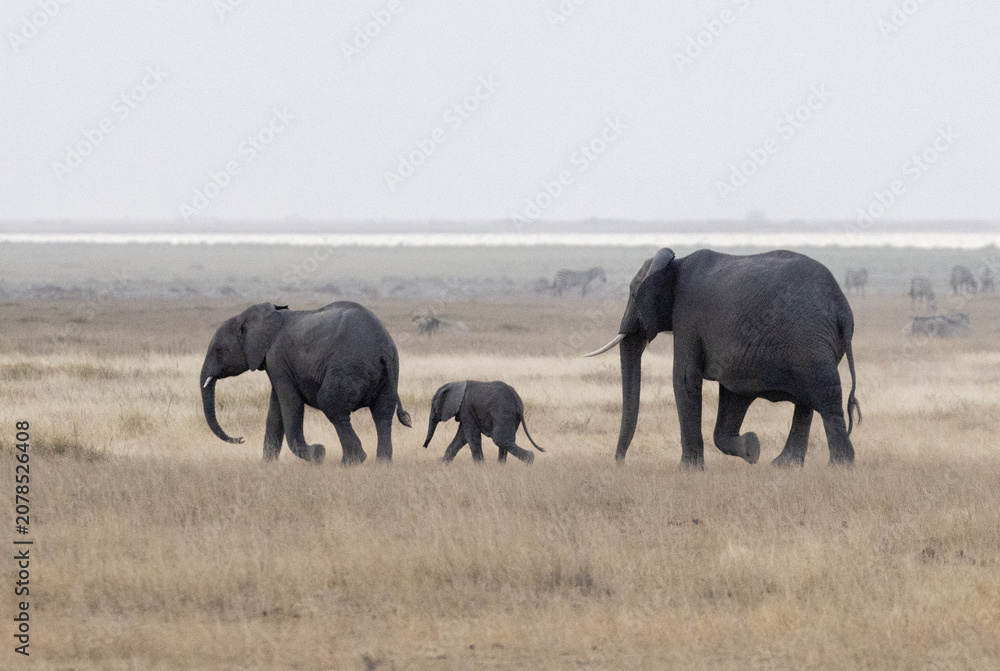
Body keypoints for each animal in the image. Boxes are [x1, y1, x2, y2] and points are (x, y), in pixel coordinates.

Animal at [200, 301, 412, 464]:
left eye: (218, 351)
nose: (241, 438)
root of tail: (383, 347)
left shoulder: (277, 359)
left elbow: (290, 405)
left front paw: (318, 453)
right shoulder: (276, 363)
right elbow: (275, 411)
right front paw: (267, 466)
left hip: (349, 367)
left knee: (332, 405)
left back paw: (350, 462)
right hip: (390, 372)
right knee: (383, 414)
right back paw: (382, 464)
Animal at [585, 248, 860, 468]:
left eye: (633, 294)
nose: (621, 462)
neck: (675, 263)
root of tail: (842, 308)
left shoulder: (687, 315)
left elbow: (685, 378)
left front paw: (688, 470)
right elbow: (732, 396)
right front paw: (752, 449)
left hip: (809, 338)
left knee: (824, 396)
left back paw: (839, 466)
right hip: (815, 342)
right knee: (807, 402)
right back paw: (784, 466)